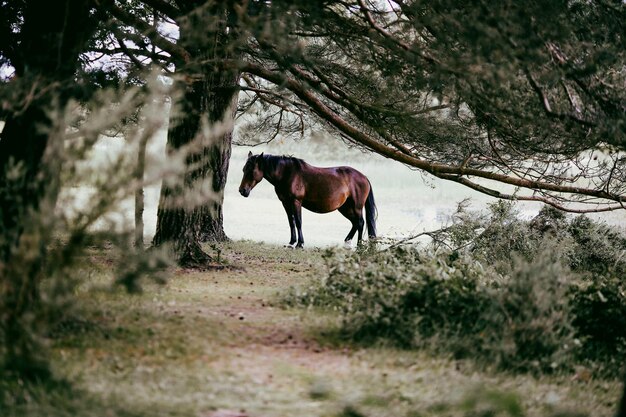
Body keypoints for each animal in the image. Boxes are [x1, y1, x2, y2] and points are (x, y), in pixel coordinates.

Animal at [238, 152, 376, 247]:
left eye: (252, 171)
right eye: (243, 169)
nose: (242, 191)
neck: (287, 174)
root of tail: (364, 177)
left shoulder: (296, 202)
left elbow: (298, 222)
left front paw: (300, 244)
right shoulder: (286, 203)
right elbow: (291, 222)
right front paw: (291, 242)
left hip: (356, 207)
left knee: (360, 222)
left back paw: (359, 246)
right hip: (345, 208)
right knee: (355, 223)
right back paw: (347, 242)